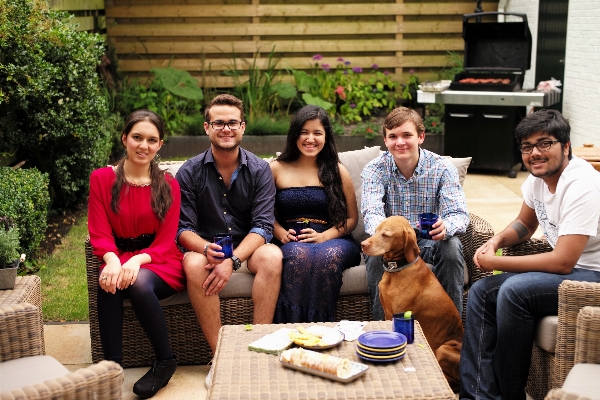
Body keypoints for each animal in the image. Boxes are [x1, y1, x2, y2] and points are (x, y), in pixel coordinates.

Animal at [360, 216, 464, 390]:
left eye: (386, 235)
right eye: (375, 231)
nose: (363, 244)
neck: (398, 269)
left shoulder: (398, 315)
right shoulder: (387, 313)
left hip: (444, 349)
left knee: (454, 381)